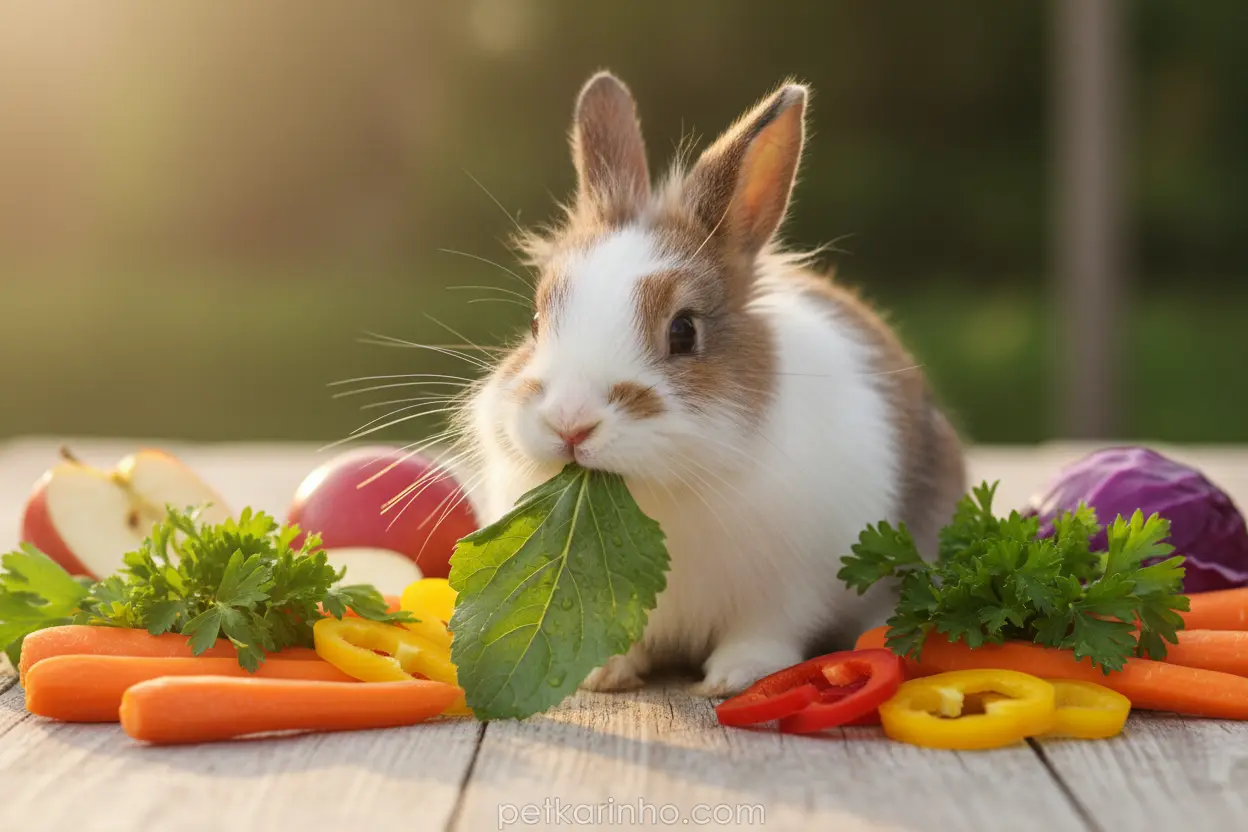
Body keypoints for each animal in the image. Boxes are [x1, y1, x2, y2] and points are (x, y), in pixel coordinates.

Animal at [457, 71, 966, 696]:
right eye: (534, 322)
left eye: (684, 331)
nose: (570, 425)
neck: (657, 491)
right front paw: (603, 674)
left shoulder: (792, 585)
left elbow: (766, 631)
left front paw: (734, 678)